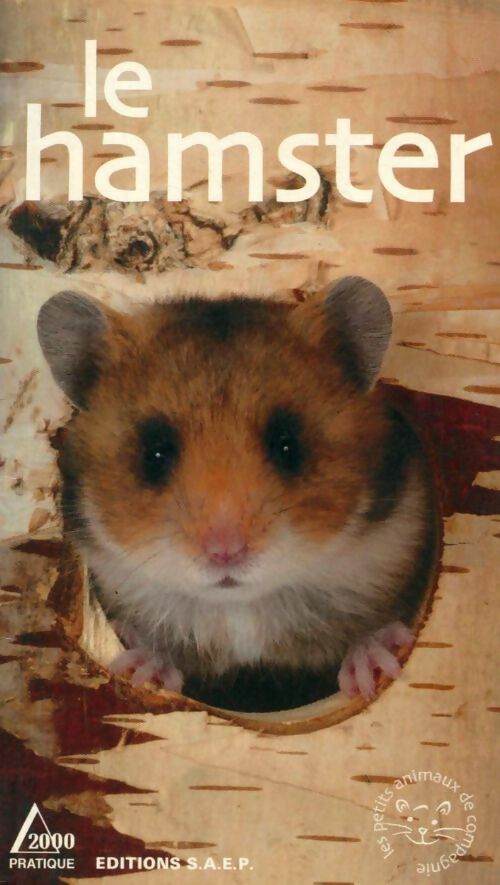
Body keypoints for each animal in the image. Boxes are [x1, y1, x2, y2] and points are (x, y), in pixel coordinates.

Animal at [37, 277, 435, 706]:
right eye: (154, 453)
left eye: (288, 445)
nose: (225, 552)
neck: (241, 605)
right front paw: (142, 671)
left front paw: (374, 665)